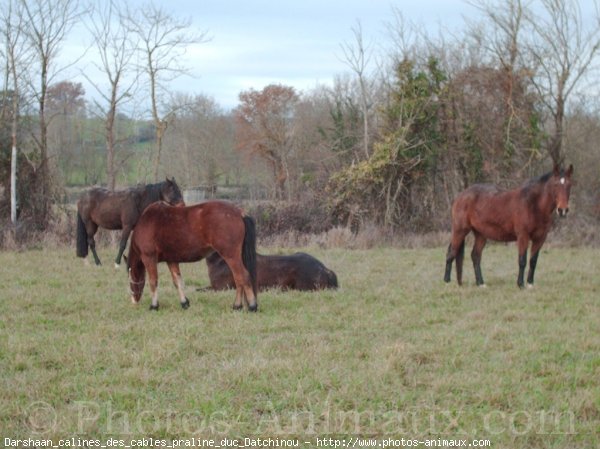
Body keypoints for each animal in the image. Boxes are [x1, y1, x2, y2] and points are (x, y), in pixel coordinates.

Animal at [126, 200, 258, 310]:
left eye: (130, 278)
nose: (134, 301)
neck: (147, 222)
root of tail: (239, 212)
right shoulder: (171, 260)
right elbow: (177, 281)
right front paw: (184, 303)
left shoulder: (149, 258)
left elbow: (153, 282)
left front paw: (154, 305)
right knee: (238, 279)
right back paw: (238, 306)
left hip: (231, 256)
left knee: (242, 276)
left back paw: (251, 306)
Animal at [442, 164, 576, 288]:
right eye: (555, 185)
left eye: (569, 185)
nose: (563, 210)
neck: (533, 205)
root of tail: (461, 196)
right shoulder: (523, 236)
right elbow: (522, 260)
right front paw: (520, 284)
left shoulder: (540, 238)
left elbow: (533, 261)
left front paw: (530, 284)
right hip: (460, 230)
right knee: (451, 252)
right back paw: (447, 282)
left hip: (481, 234)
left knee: (475, 256)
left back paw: (481, 283)